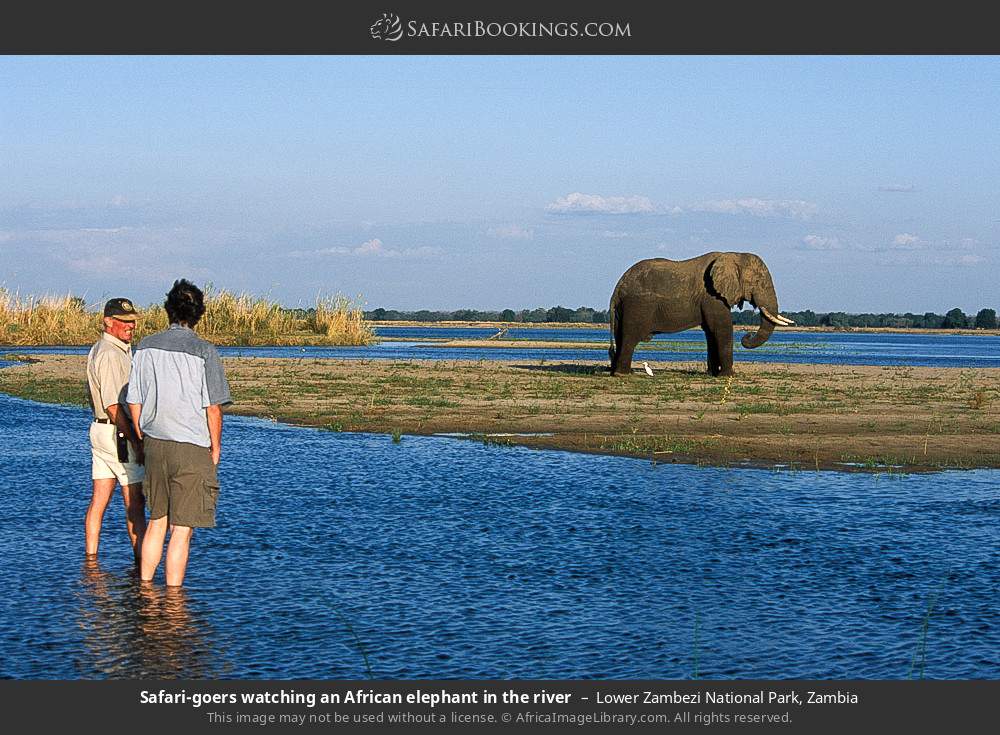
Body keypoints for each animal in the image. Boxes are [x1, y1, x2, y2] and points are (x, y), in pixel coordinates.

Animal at [608, 251, 794, 377]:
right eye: (758, 282)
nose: (747, 336)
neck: (733, 255)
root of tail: (618, 286)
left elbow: (711, 332)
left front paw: (713, 374)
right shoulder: (712, 296)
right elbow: (722, 328)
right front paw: (728, 376)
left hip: (624, 308)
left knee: (620, 335)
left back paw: (619, 372)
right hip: (637, 305)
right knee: (630, 337)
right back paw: (623, 374)